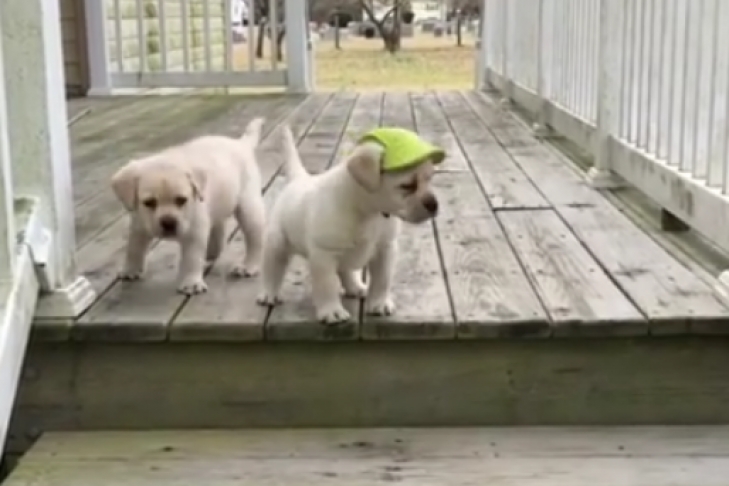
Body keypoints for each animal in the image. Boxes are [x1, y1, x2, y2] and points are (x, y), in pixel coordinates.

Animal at [110, 117, 266, 295]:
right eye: (149, 202)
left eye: (181, 200)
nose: (169, 223)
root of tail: (240, 144)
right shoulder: (139, 225)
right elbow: (133, 249)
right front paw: (130, 270)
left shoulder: (194, 231)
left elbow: (192, 258)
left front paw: (191, 283)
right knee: (218, 229)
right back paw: (211, 252)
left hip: (249, 208)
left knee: (255, 239)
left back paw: (248, 266)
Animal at [256, 125, 442, 324]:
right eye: (407, 186)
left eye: (430, 178)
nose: (434, 204)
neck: (368, 211)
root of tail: (299, 178)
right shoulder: (324, 254)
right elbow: (327, 285)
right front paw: (332, 311)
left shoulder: (386, 249)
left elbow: (382, 280)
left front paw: (380, 303)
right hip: (277, 242)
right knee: (272, 268)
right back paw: (269, 294)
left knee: (345, 269)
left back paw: (355, 286)